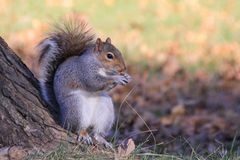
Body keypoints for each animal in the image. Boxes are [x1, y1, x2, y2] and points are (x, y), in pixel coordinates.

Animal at [37, 20, 131, 148]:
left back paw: (102, 140)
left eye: (120, 52)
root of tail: (62, 117)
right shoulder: (84, 71)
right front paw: (117, 78)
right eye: (109, 56)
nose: (123, 69)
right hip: (76, 107)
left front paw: (126, 76)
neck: (99, 65)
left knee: (96, 132)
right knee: (77, 128)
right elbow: (95, 82)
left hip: (105, 110)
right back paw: (84, 135)